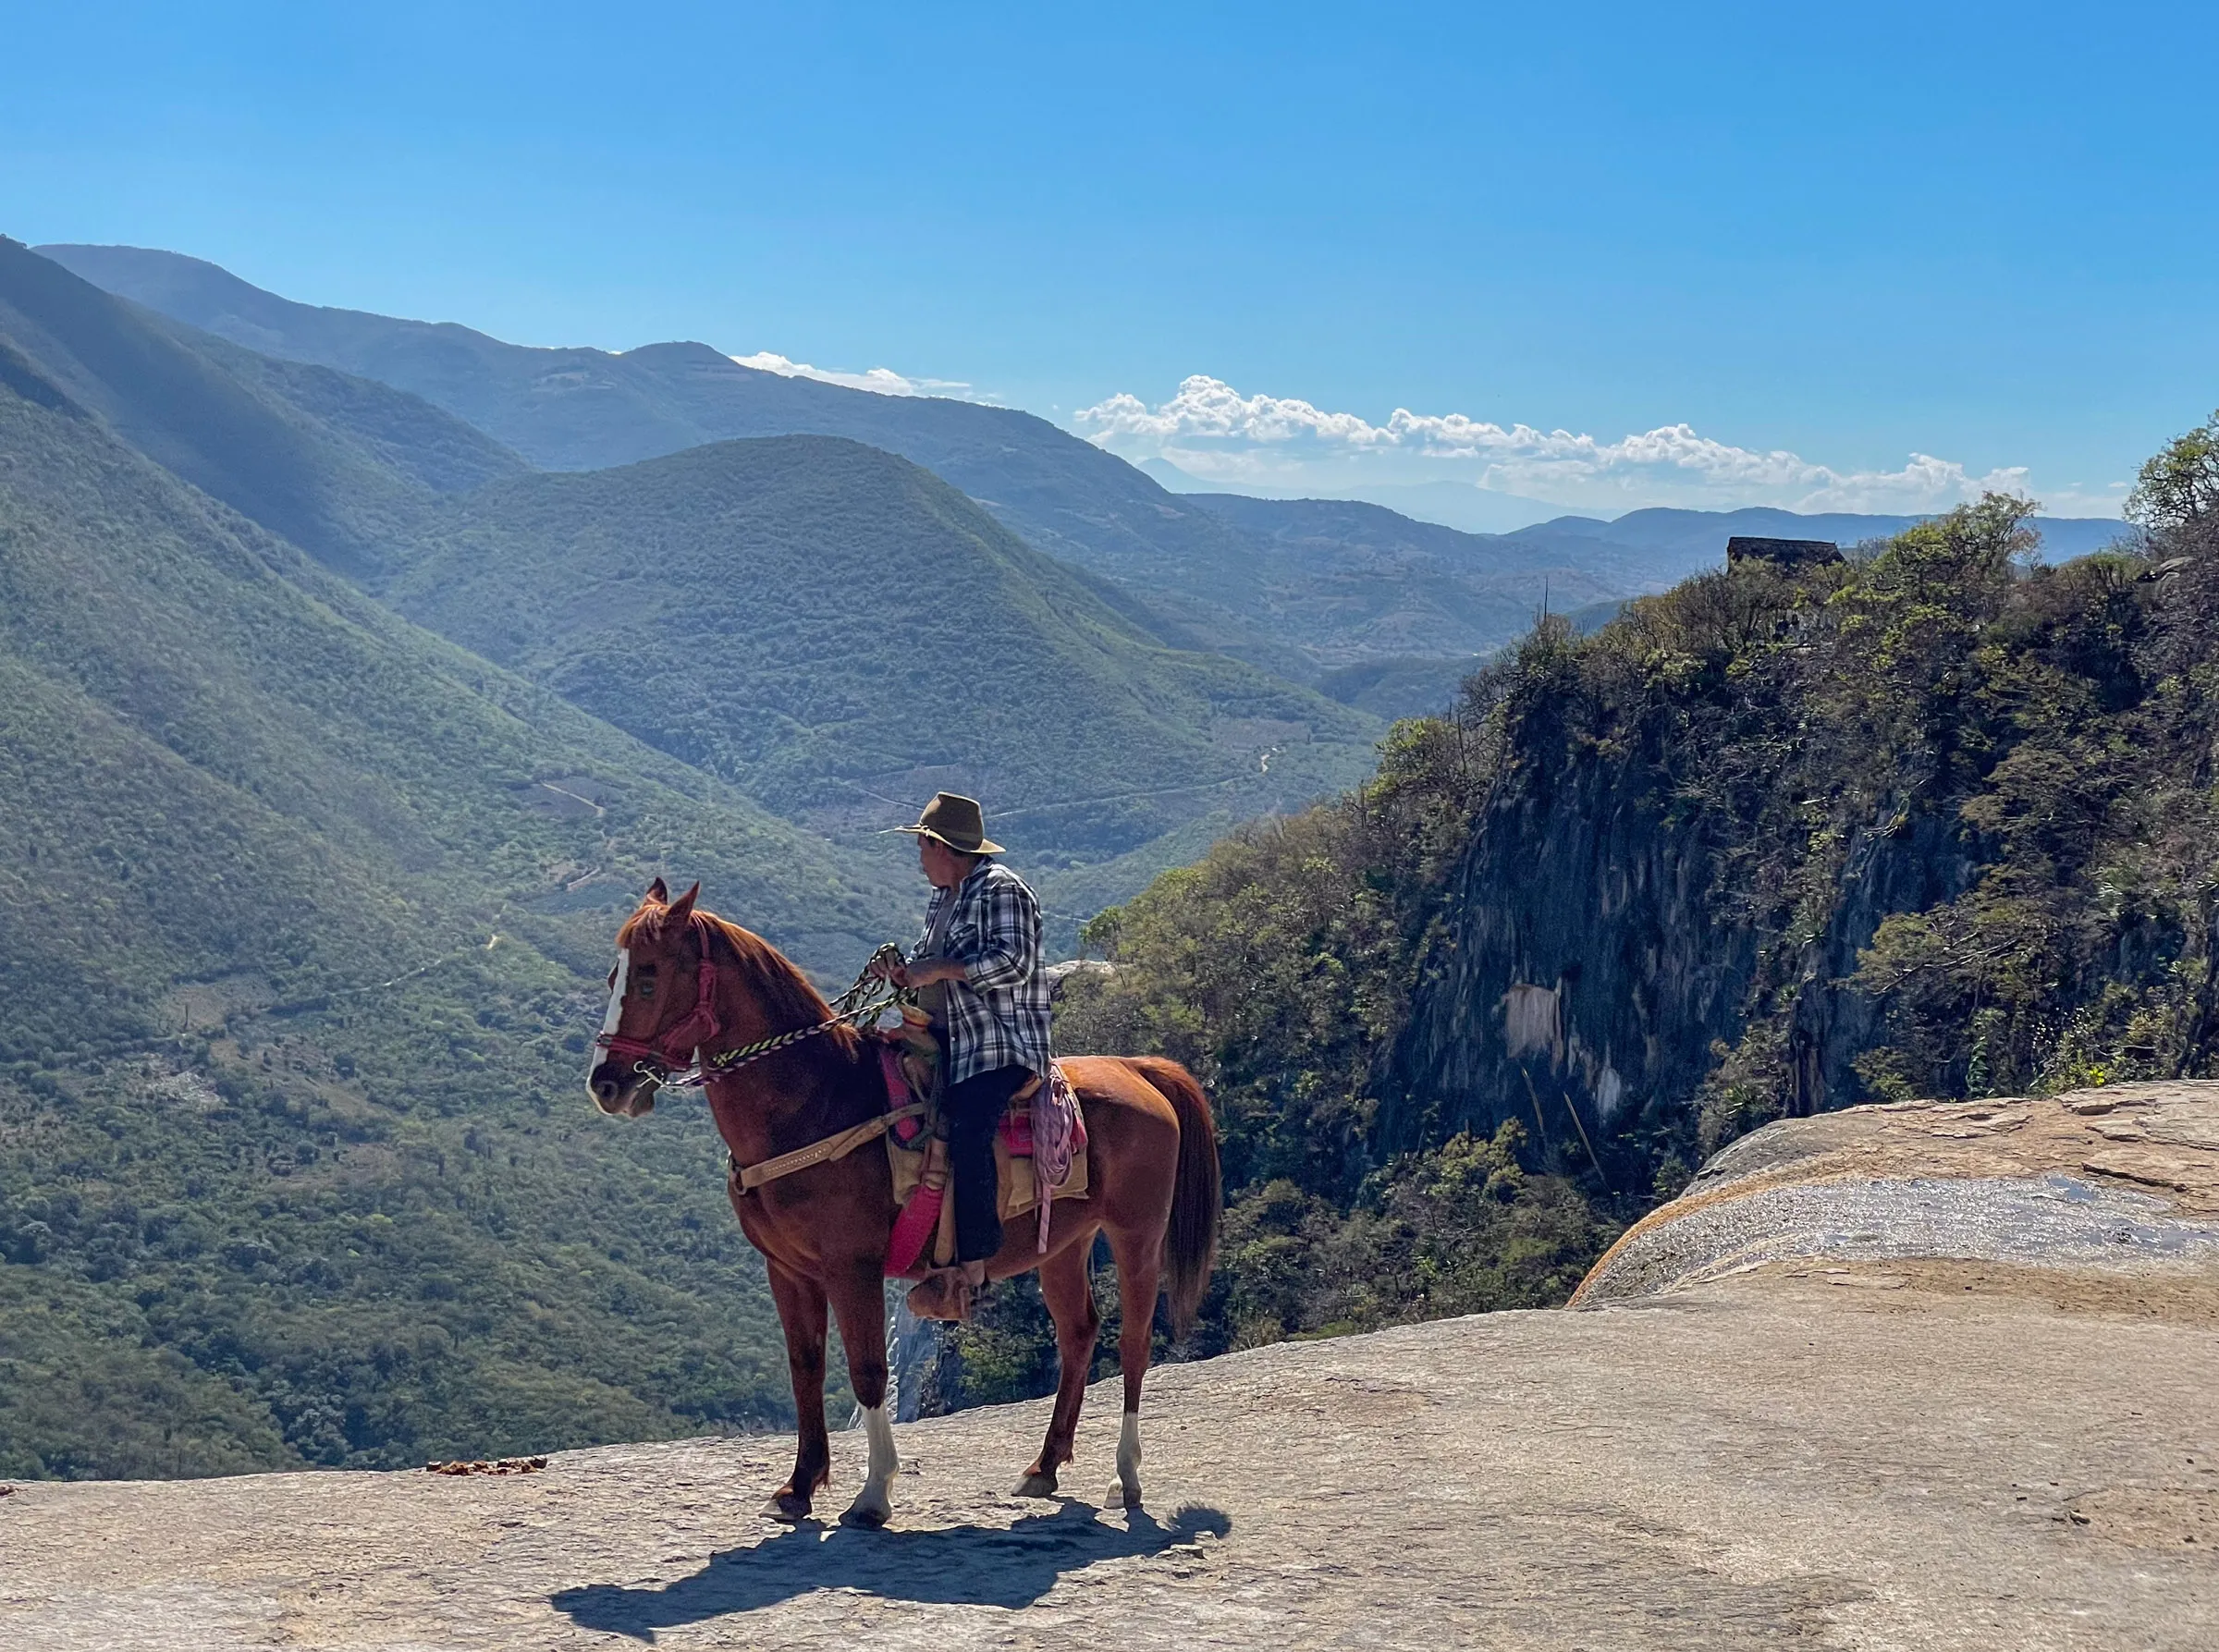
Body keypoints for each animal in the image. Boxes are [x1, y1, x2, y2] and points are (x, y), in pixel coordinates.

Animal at [585, 879, 1221, 1527]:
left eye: (649, 979)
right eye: (614, 978)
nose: (607, 1084)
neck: (816, 1101)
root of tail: (1138, 1068)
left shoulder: (853, 1268)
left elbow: (868, 1370)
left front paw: (872, 1494)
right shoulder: (786, 1270)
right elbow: (806, 1366)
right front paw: (798, 1487)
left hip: (1136, 1234)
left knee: (1134, 1342)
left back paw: (1126, 1477)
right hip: (1064, 1244)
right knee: (1079, 1333)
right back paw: (1043, 1467)